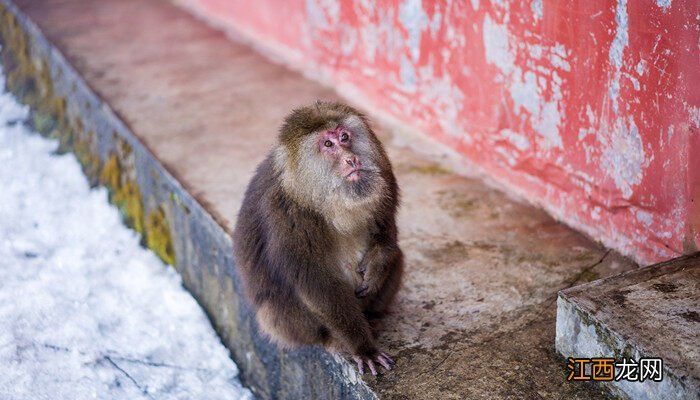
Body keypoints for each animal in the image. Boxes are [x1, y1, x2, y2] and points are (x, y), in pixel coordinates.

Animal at [232, 100, 402, 376]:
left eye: (344, 137)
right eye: (328, 144)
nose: (351, 158)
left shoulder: (385, 175)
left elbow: (387, 234)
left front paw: (375, 268)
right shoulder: (286, 216)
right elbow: (317, 284)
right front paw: (363, 347)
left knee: (397, 255)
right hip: (283, 323)